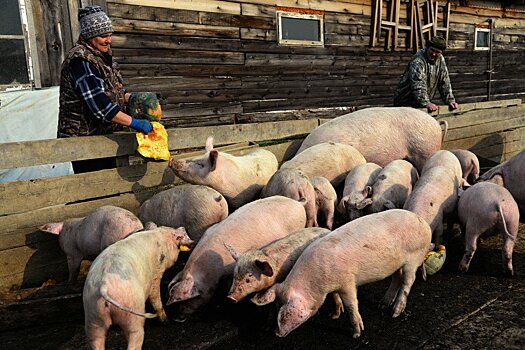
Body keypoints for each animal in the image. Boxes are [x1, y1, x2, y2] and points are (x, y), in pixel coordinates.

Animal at [253, 209, 430, 338]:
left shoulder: (347, 282)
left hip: (413, 258)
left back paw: (394, 313)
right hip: (397, 263)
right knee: (396, 279)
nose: (276, 333)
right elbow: (336, 297)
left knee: (407, 282)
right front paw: (334, 315)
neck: (318, 281)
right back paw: (382, 305)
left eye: (282, 308)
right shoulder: (334, 284)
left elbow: (352, 305)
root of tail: (424, 223)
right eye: (276, 305)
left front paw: (356, 334)